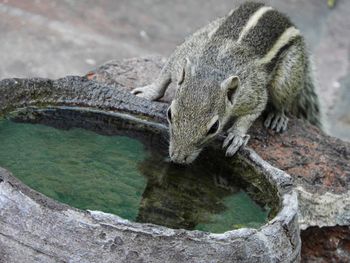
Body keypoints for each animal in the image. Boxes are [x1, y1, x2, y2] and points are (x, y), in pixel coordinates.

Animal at [132, 1, 322, 164]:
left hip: (288, 75)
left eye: (214, 128)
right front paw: (147, 92)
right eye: (170, 113)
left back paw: (277, 116)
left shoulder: (251, 93)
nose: (178, 158)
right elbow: (164, 75)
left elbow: (253, 112)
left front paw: (236, 136)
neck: (215, 65)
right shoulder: (181, 58)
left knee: (284, 98)